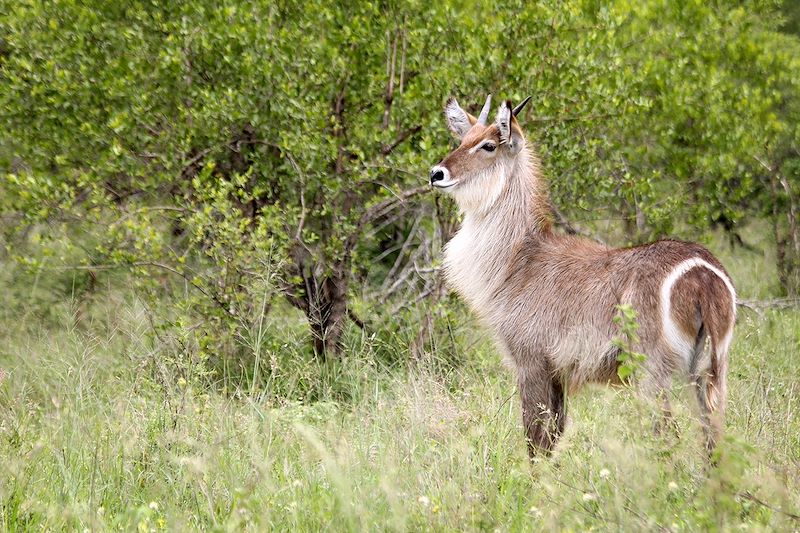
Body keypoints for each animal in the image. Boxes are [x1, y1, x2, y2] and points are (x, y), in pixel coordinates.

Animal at [432, 93, 736, 456]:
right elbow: (554, 435)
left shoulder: (530, 361)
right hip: (713, 369)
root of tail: (703, 273)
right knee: (714, 437)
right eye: (462, 140)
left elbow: (535, 439)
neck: (520, 259)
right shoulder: (558, 372)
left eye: (488, 145)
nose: (436, 173)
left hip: (653, 370)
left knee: (667, 435)